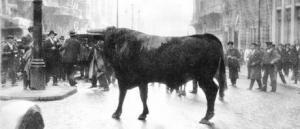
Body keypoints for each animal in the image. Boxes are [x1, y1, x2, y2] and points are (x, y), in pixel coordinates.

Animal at [88, 27, 226, 124]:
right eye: (106, 39)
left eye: (110, 40)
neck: (123, 45)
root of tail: (207, 37)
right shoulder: (142, 81)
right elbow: (143, 96)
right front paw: (143, 114)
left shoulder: (123, 79)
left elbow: (121, 97)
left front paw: (117, 113)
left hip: (204, 77)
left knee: (212, 90)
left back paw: (207, 116)